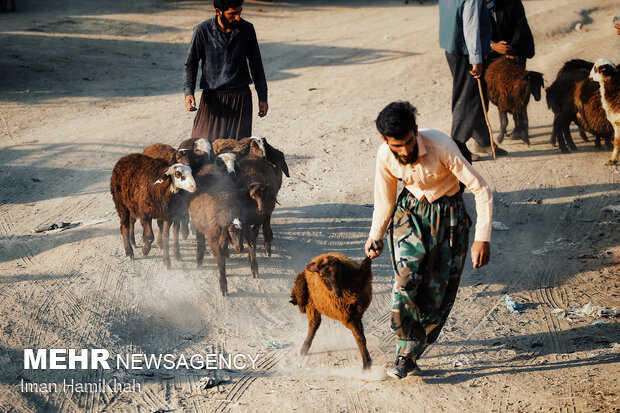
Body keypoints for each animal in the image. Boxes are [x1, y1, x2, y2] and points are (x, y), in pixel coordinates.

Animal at [190, 163, 246, 294]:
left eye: (243, 230)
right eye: (231, 231)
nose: (240, 248)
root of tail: (209, 165)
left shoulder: (223, 237)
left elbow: (223, 254)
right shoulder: (214, 238)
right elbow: (220, 261)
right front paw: (223, 285)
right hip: (198, 222)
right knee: (200, 240)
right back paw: (199, 260)